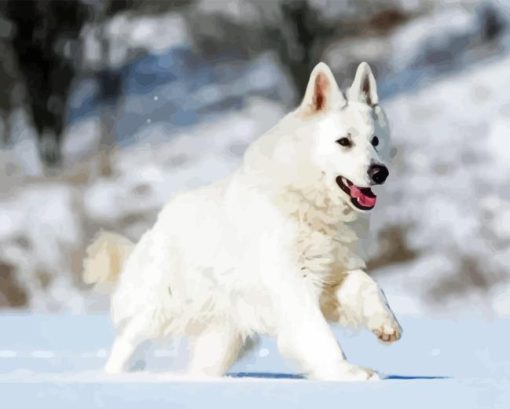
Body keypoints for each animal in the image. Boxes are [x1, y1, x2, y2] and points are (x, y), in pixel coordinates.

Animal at [83, 60, 402, 380]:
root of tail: (156, 225)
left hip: (221, 342)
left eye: (375, 141)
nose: (380, 172)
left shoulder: (331, 278)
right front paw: (348, 372)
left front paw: (386, 323)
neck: (307, 201)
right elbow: (319, 335)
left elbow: (369, 286)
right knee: (128, 339)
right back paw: (111, 376)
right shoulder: (293, 284)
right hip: (162, 311)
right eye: (344, 142)